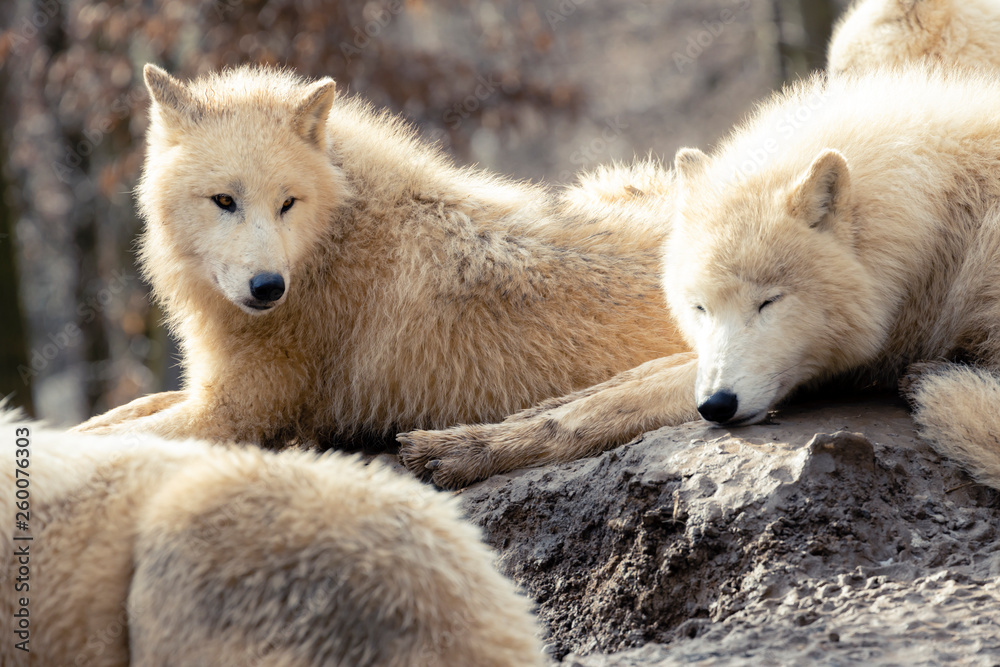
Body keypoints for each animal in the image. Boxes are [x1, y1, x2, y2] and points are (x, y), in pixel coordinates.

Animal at [73, 64, 687, 449]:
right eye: (225, 200)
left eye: (287, 203)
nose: (268, 287)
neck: (334, 242)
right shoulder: (207, 392)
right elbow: (119, 413)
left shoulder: (232, 413)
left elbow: (104, 438)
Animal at [402, 67, 1000, 492]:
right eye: (700, 308)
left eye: (769, 303)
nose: (716, 407)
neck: (931, 225)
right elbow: (624, 379)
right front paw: (495, 427)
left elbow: (606, 406)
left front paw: (468, 450)